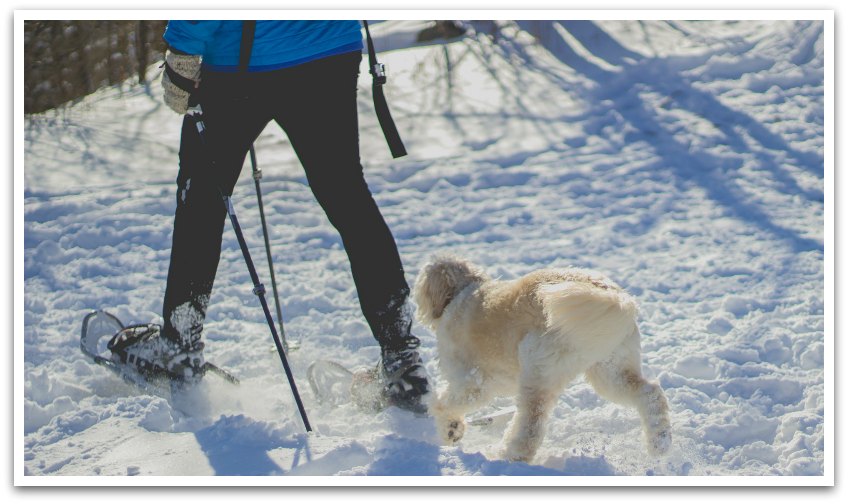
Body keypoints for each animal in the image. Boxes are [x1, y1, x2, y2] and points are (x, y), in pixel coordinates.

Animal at [414, 256, 672, 464]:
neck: (462, 292)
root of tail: (613, 295)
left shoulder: (473, 382)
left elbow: (443, 404)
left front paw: (450, 428)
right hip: (611, 370)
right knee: (650, 394)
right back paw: (659, 443)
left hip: (537, 370)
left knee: (531, 426)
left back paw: (509, 457)